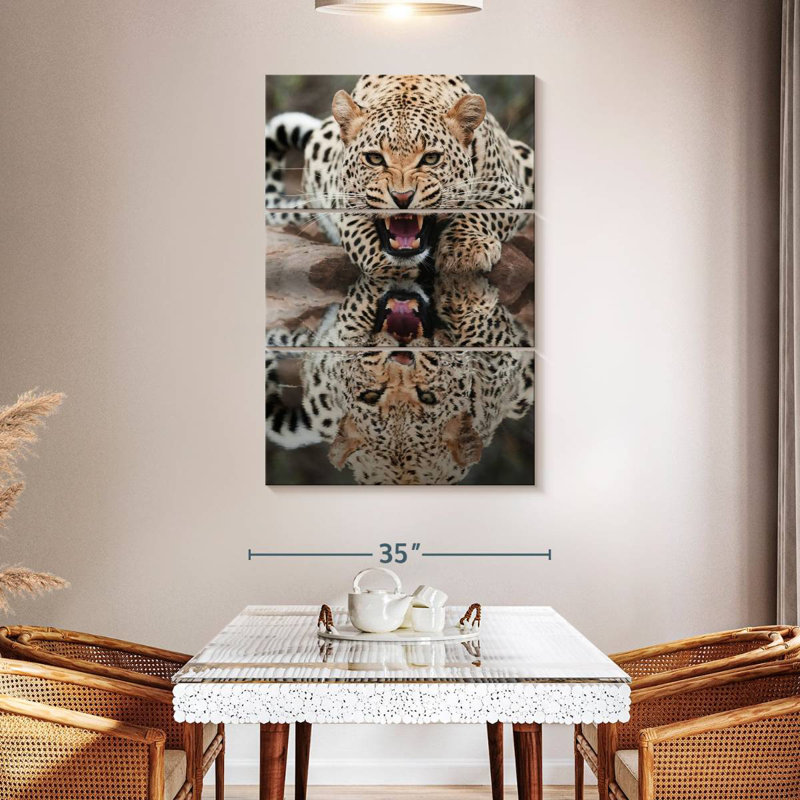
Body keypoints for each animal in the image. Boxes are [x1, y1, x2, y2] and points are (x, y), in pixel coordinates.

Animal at [265, 75, 534, 277]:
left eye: (431, 158)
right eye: (374, 159)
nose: (402, 197)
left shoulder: (508, 193)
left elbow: (479, 213)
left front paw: (464, 252)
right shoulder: (345, 205)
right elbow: (362, 238)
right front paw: (390, 271)